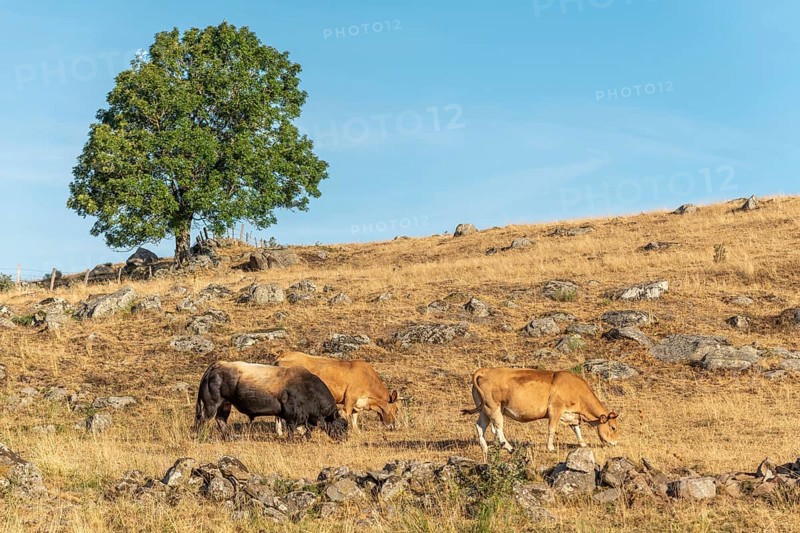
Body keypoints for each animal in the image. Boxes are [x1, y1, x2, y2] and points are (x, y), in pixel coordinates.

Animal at [193, 361, 348, 441]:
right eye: (341, 425)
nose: (344, 439)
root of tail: (217, 365)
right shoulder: (292, 415)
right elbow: (293, 428)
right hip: (211, 404)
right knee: (202, 419)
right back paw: (199, 436)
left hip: (225, 404)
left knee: (221, 420)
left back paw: (229, 437)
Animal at [462, 367, 620, 456]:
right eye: (613, 427)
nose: (616, 443)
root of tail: (485, 371)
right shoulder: (556, 410)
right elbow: (552, 429)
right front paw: (550, 447)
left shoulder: (572, 414)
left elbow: (577, 429)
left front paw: (583, 444)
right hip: (493, 407)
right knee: (498, 428)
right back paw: (509, 447)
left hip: (485, 409)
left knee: (480, 426)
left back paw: (485, 448)